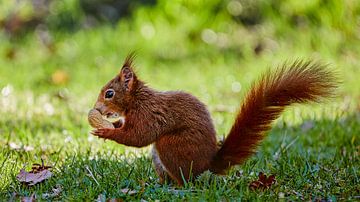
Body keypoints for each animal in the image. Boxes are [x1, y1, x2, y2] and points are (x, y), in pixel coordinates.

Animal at [90, 53, 338, 185]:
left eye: (109, 93)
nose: (96, 109)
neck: (136, 101)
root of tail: (207, 164)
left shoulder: (149, 115)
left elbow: (138, 137)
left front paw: (105, 131)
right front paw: (114, 124)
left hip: (170, 146)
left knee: (185, 180)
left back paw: (175, 187)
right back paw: (156, 183)